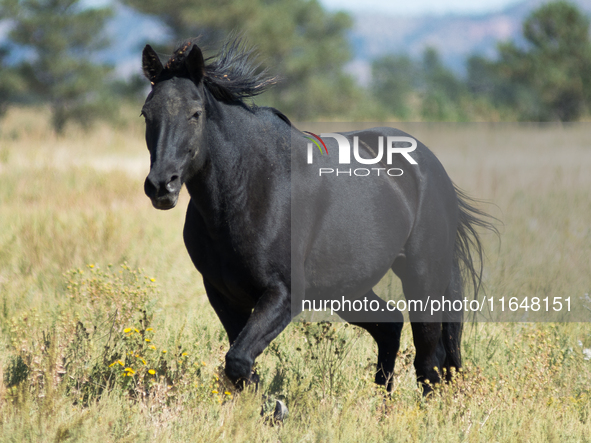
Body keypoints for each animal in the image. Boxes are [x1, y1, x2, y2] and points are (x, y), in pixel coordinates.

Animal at [140, 39, 494, 396]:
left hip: (421, 276)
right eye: (146, 113)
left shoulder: (284, 295)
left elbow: (238, 360)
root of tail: (429, 165)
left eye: (195, 113)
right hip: (348, 288)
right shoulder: (223, 296)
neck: (249, 188)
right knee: (391, 326)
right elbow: (239, 365)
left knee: (428, 361)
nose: (161, 185)